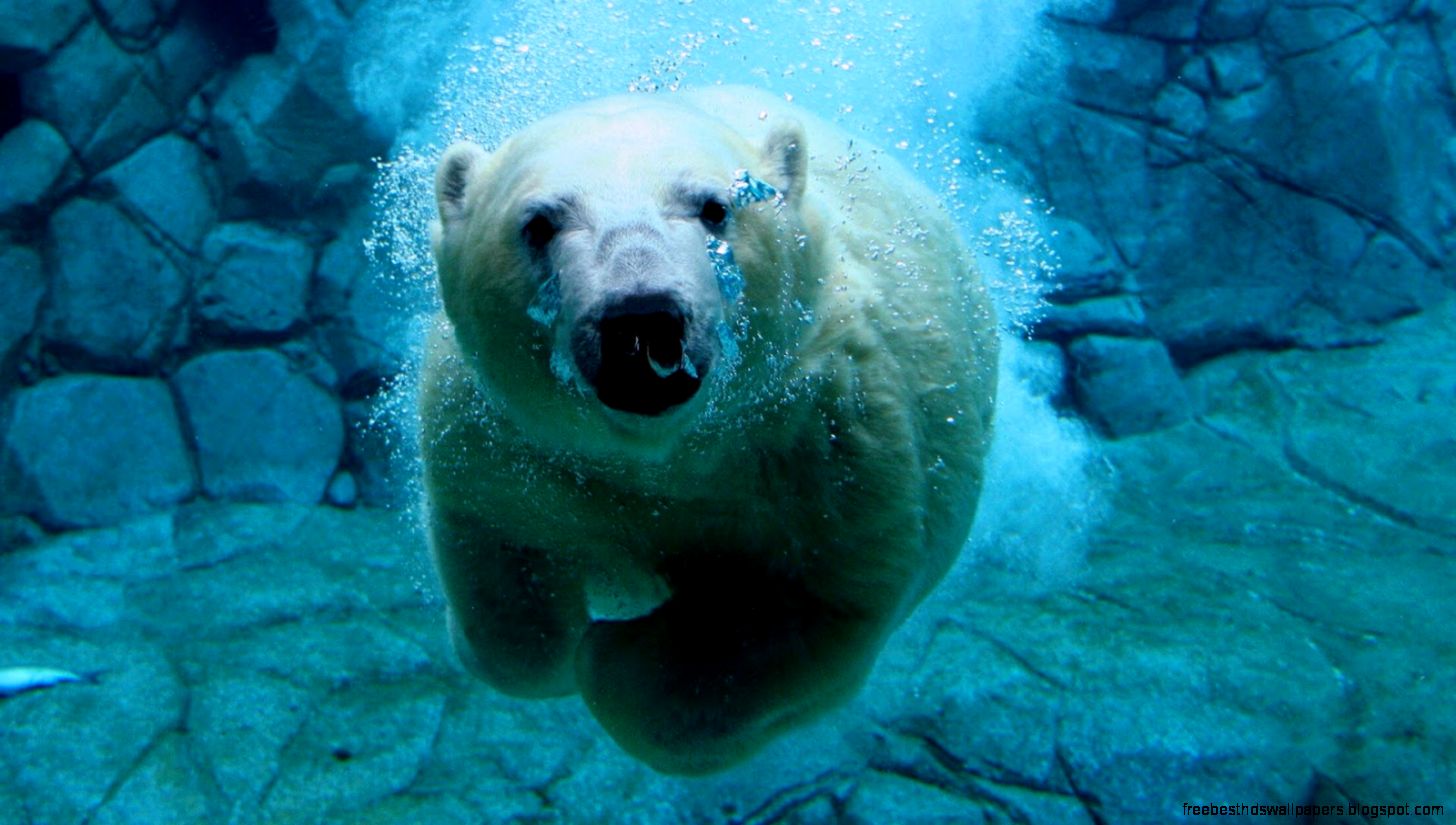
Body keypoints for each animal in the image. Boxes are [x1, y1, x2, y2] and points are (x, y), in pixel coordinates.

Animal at [423, 85, 997, 775]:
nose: (640, 318)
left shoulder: (831, 442)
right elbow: (503, 559)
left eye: (715, 207)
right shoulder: (507, 440)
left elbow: (805, 610)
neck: (668, 452)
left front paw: (615, 654)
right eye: (538, 223)